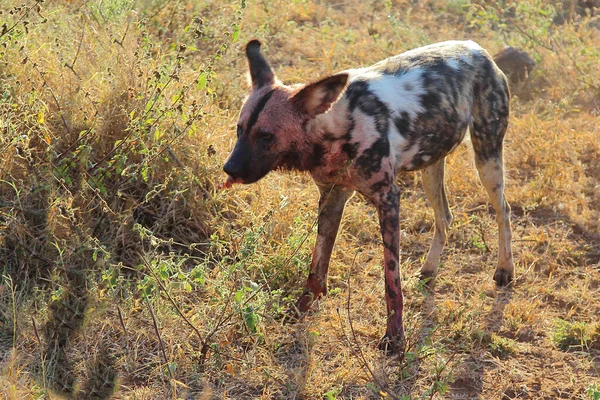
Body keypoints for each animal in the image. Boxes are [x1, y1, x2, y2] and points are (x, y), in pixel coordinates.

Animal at [223, 39, 512, 354]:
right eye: (240, 130)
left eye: (266, 136)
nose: (229, 168)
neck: (337, 130)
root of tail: (477, 49)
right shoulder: (332, 198)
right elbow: (317, 268)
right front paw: (302, 308)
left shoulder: (388, 199)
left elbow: (391, 283)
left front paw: (395, 338)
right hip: (430, 165)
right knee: (445, 216)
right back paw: (429, 271)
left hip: (487, 159)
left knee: (503, 211)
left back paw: (504, 271)